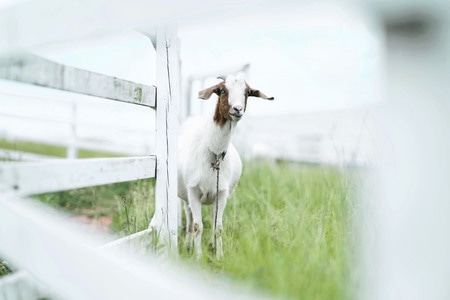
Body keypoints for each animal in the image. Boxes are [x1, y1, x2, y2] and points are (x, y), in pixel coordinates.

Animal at [178, 75, 272, 260]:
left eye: (247, 93)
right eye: (222, 90)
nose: (237, 109)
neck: (213, 153)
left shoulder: (221, 193)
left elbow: (218, 227)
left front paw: (219, 256)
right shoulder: (193, 190)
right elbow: (197, 226)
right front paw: (198, 257)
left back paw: (210, 246)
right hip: (185, 196)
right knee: (190, 219)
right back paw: (188, 245)